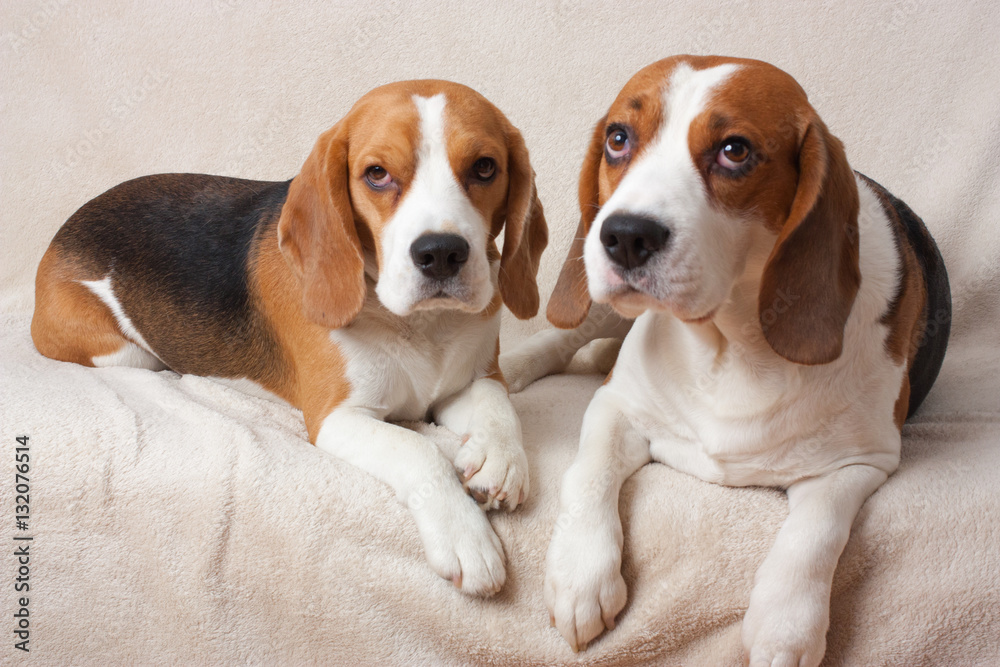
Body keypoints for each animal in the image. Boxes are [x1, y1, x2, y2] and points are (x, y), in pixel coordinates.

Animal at [33, 81, 548, 596]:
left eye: (485, 167)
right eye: (377, 174)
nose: (441, 253)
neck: (423, 325)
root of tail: (63, 230)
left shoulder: (470, 380)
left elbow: (499, 404)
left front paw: (500, 459)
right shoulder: (336, 417)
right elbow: (418, 448)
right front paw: (465, 535)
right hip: (126, 353)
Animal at [504, 56, 948, 664]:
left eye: (734, 151)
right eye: (619, 139)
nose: (624, 234)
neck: (730, 342)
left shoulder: (858, 461)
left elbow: (814, 533)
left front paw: (786, 627)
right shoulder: (616, 406)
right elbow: (587, 475)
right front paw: (581, 575)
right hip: (598, 305)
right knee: (567, 336)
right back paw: (520, 364)